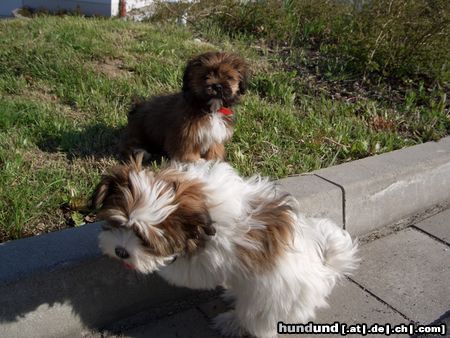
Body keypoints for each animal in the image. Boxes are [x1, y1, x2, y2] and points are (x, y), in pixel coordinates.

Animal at [92, 158, 358, 338]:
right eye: (118, 223)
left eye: (145, 239)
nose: (121, 252)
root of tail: (323, 272)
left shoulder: (212, 259)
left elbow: (189, 272)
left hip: (270, 298)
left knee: (257, 318)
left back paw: (233, 323)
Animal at [120, 51, 250, 162]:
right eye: (206, 76)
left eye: (229, 77)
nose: (217, 86)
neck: (210, 109)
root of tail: (137, 107)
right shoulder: (185, 135)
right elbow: (187, 150)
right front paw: (194, 162)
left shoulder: (215, 134)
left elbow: (214, 148)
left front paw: (214, 160)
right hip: (138, 131)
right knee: (130, 144)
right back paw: (140, 152)